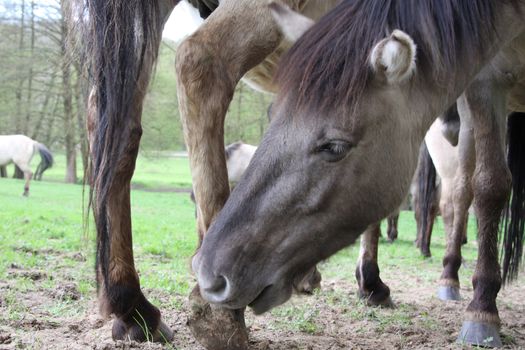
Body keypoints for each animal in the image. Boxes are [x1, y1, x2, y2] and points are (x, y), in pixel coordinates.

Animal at [192, 0, 524, 348]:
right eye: (271, 114)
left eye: (335, 146)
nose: (206, 273)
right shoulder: (486, 84)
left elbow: (491, 186)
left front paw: (483, 308)